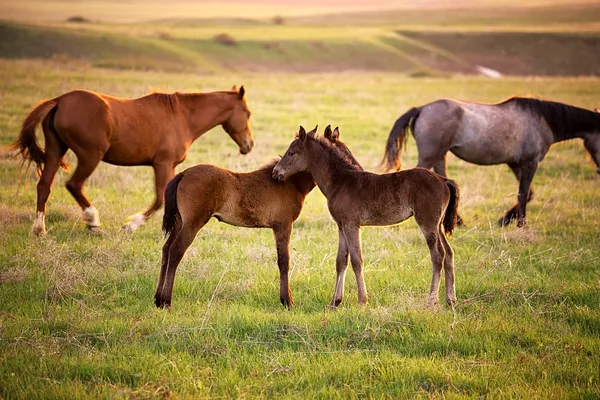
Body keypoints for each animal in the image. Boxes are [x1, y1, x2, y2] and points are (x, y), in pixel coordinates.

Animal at [14, 85, 253, 234]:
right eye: (248, 113)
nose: (249, 145)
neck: (183, 117)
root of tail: (59, 101)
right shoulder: (163, 164)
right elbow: (159, 199)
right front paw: (131, 225)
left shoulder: (168, 167)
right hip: (90, 156)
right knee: (74, 184)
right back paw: (93, 220)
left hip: (56, 151)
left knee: (44, 186)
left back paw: (39, 229)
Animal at [155, 125, 360, 310]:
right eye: (340, 151)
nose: (356, 168)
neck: (291, 183)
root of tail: (183, 174)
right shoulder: (283, 225)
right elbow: (284, 261)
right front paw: (287, 301)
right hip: (192, 223)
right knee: (175, 251)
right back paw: (167, 301)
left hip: (180, 222)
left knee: (166, 250)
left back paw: (158, 299)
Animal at [272, 126, 460, 308]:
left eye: (291, 152)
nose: (275, 172)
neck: (340, 182)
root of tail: (443, 180)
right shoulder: (341, 225)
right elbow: (341, 260)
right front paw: (334, 302)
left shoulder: (351, 224)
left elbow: (357, 259)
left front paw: (362, 301)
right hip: (437, 225)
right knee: (449, 252)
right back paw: (450, 299)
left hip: (427, 222)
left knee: (438, 256)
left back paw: (432, 300)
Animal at [384, 97, 600, 227]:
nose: (599, 171)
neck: (542, 120)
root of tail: (421, 109)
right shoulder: (530, 162)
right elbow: (523, 194)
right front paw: (521, 224)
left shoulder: (516, 164)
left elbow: (527, 193)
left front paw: (505, 220)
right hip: (430, 156)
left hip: (440, 156)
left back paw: (457, 222)